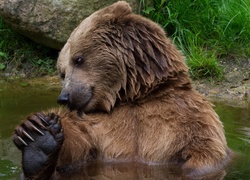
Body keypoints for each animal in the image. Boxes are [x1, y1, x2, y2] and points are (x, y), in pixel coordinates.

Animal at [13, 1, 232, 179]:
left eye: (78, 59)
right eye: (62, 72)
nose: (64, 97)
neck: (134, 96)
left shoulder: (189, 117)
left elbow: (204, 153)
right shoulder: (99, 129)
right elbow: (78, 147)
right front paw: (38, 134)